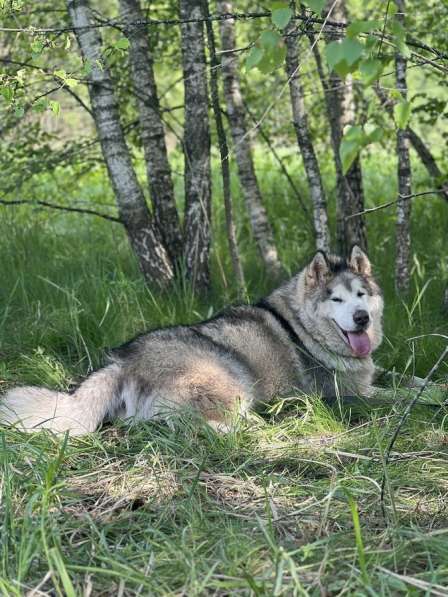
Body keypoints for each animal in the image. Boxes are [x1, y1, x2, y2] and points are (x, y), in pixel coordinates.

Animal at [0, 244, 384, 436]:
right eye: (336, 299)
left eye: (361, 295)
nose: (361, 318)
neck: (300, 326)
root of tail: (123, 360)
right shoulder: (344, 395)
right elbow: (390, 395)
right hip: (229, 376)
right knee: (202, 422)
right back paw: (259, 424)